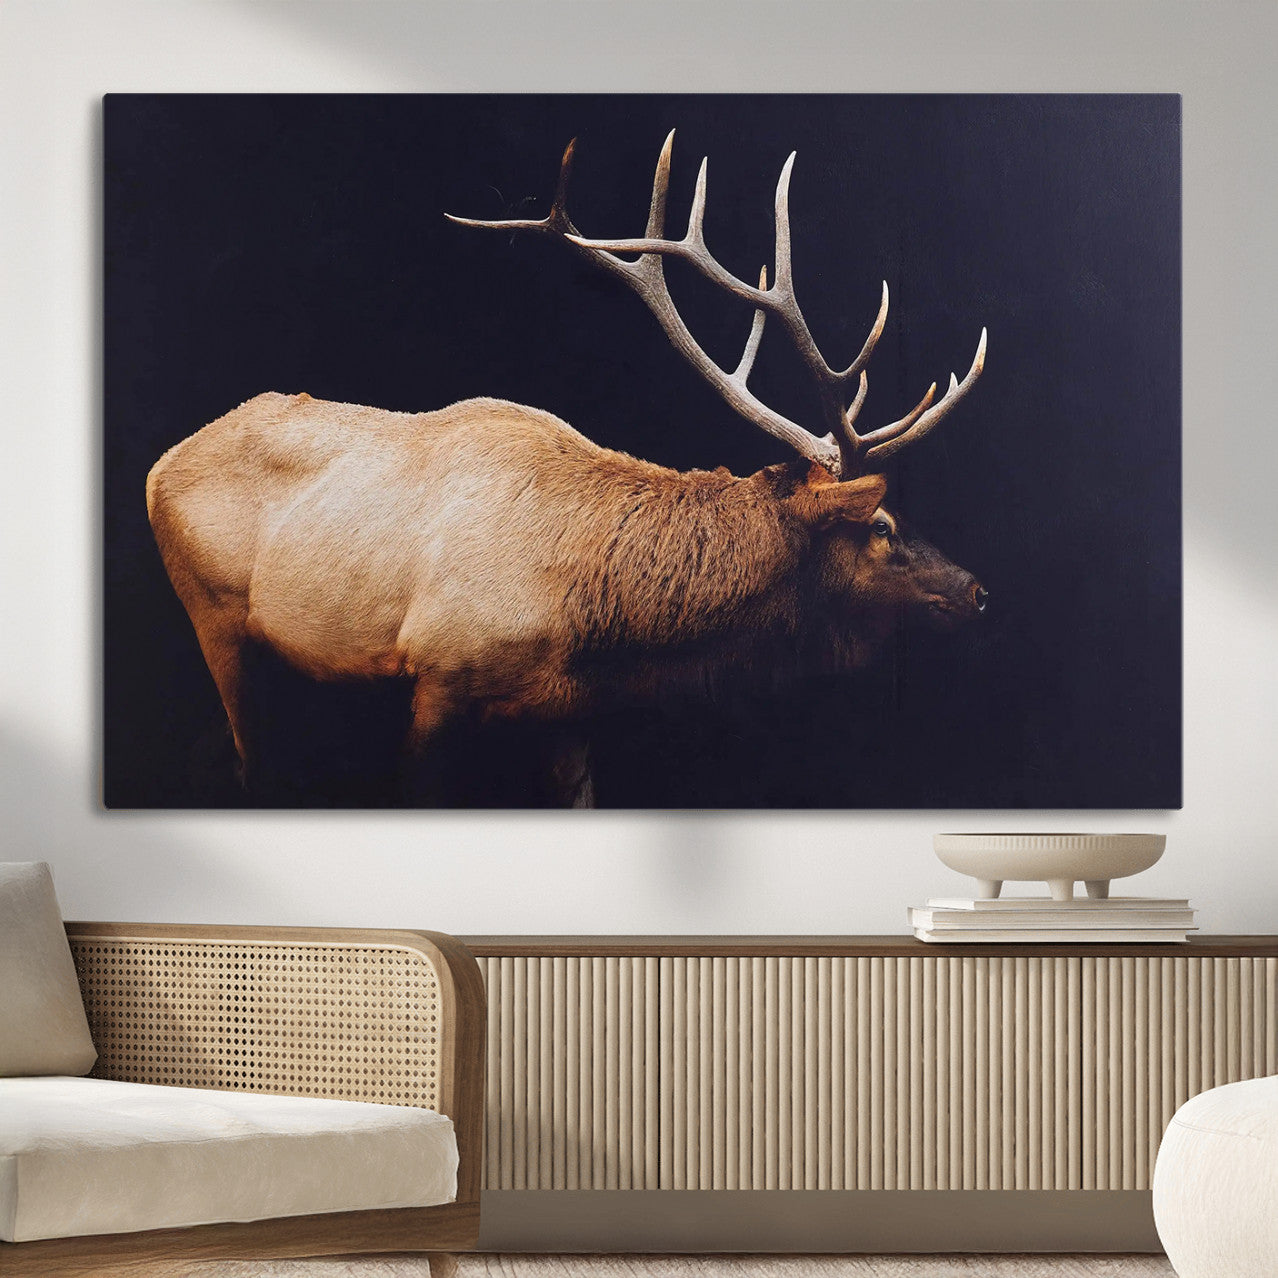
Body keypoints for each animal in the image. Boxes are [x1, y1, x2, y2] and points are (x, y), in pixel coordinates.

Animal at [146, 131, 988, 807]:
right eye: (881, 524)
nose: (977, 590)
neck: (594, 618)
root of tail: (159, 464)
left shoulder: (569, 715)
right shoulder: (437, 677)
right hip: (212, 613)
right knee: (251, 761)